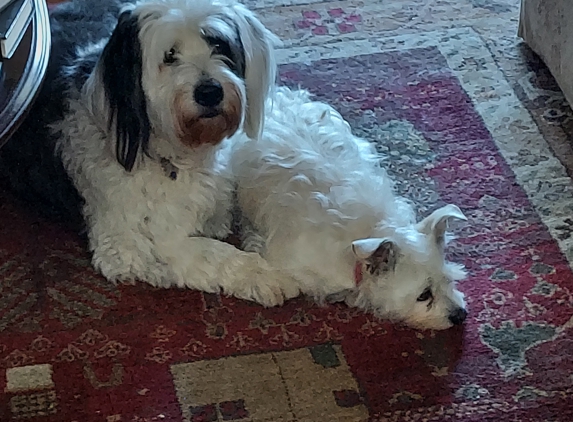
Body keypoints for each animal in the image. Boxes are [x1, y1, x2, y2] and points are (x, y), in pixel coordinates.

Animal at [0, 0, 302, 306]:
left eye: (218, 44)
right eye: (169, 56)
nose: (210, 92)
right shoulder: (128, 245)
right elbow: (211, 252)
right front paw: (267, 274)